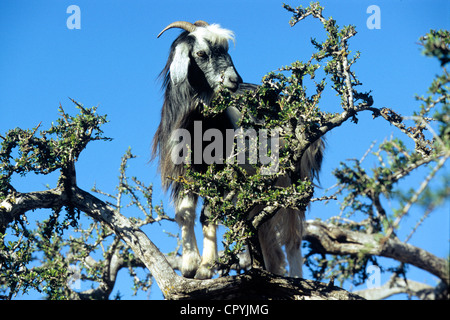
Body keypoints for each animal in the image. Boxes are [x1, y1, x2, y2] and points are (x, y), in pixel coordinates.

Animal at [154, 20, 324, 280]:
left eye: (226, 50)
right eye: (201, 53)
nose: (235, 80)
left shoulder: (224, 173)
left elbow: (209, 213)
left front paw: (206, 267)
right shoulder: (185, 172)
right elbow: (185, 213)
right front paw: (190, 265)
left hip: (294, 179)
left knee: (293, 238)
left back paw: (295, 277)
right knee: (269, 240)